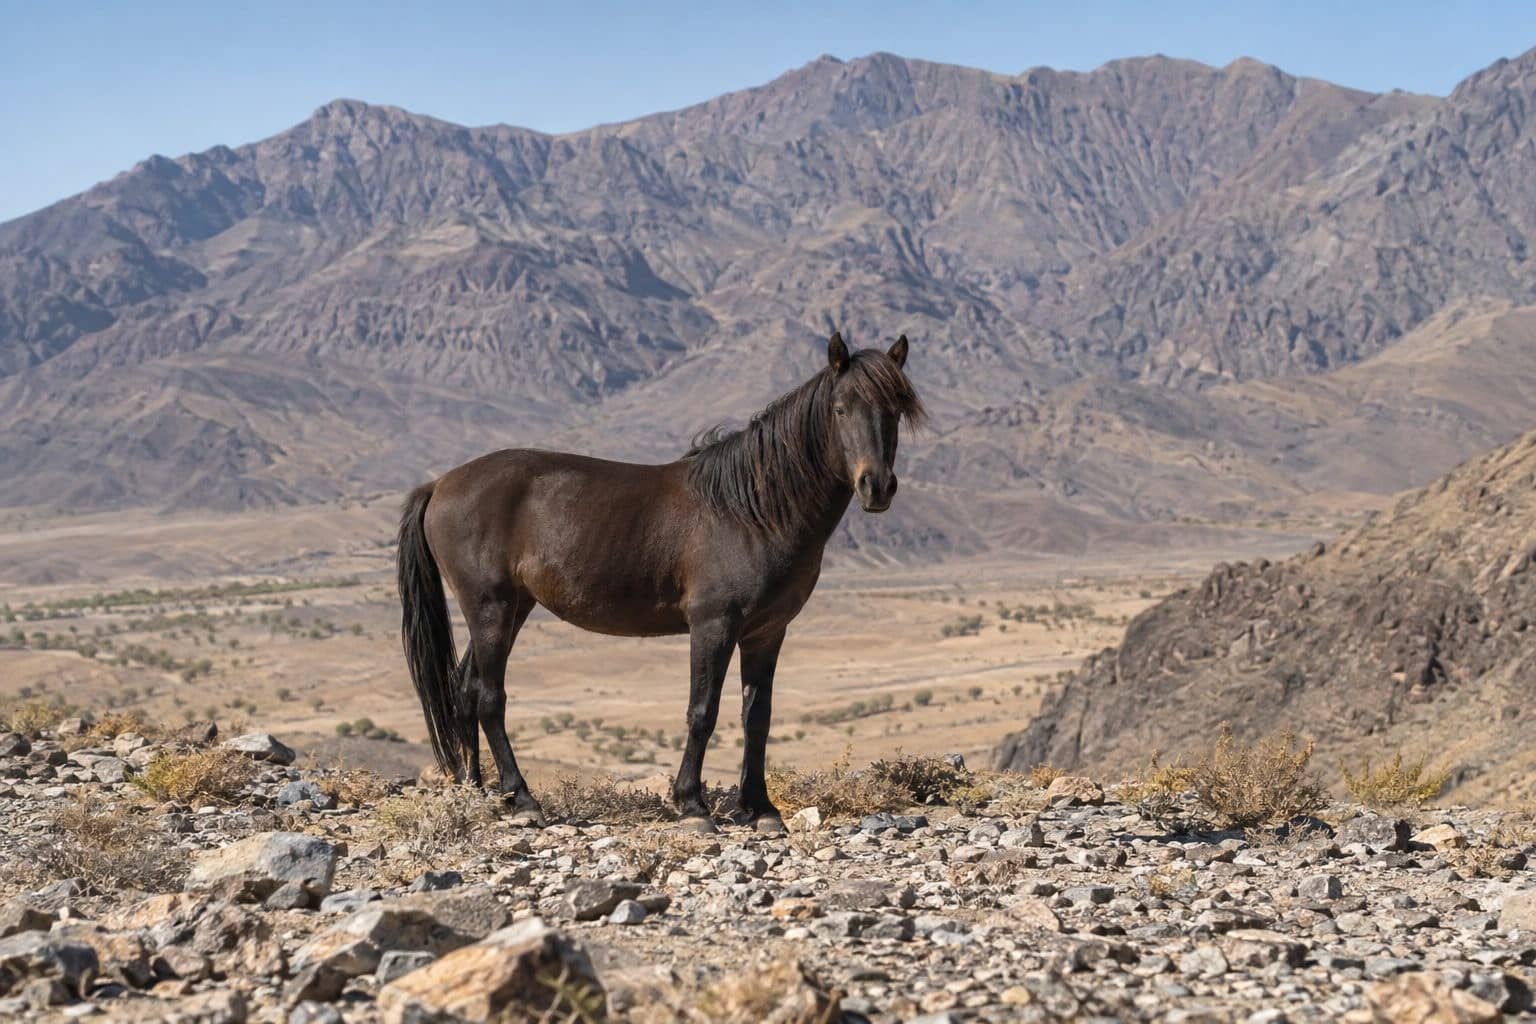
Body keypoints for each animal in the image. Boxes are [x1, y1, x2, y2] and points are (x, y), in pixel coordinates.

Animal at [396, 332, 925, 831]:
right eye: (840, 408)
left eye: (895, 409)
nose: (877, 487)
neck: (752, 510)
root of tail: (439, 485)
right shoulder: (713, 626)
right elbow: (702, 712)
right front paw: (692, 805)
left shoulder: (767, 633)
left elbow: (757, 717)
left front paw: (760, 808)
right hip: (490, 607)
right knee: (489, 697)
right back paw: (522, 800)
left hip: (513, 609)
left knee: (465, 690)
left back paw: (477, 794)